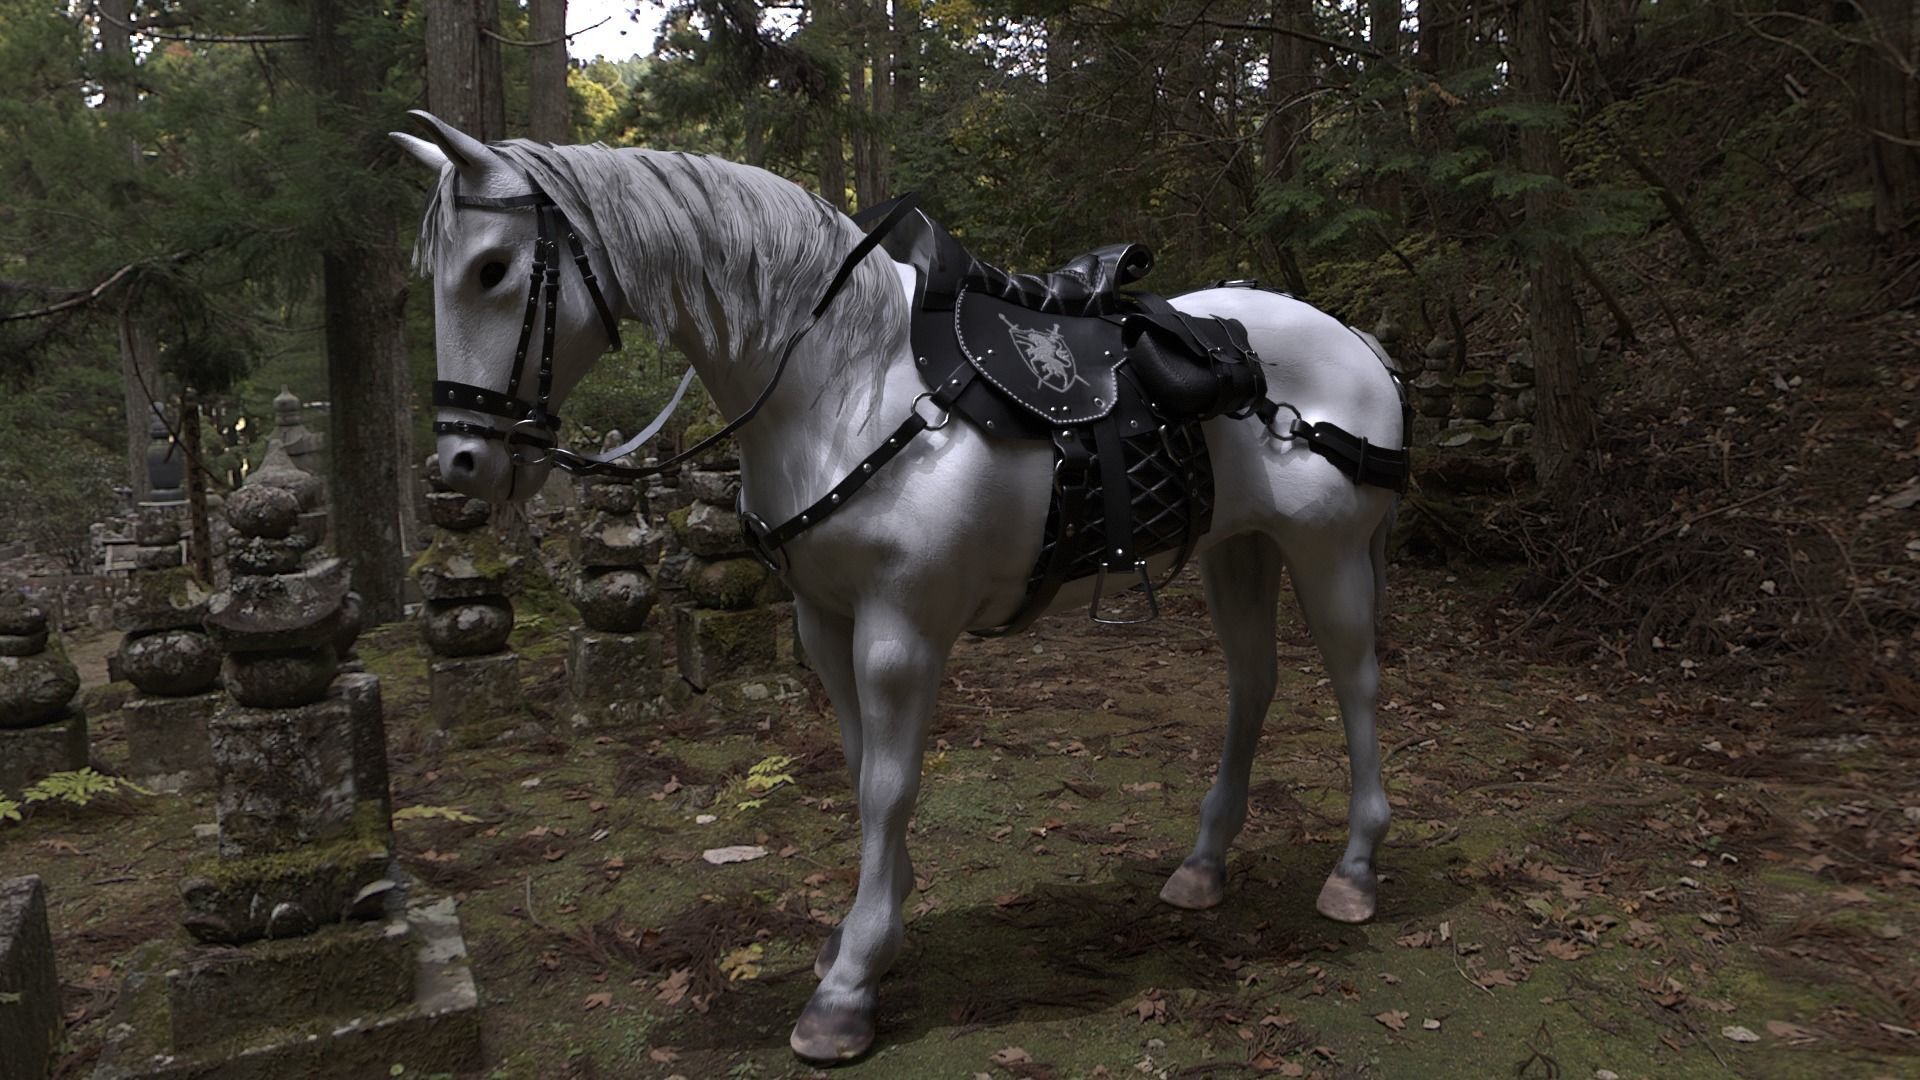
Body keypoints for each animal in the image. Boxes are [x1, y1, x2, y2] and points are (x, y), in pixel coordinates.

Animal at [393, 111, 1404, 1063]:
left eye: (491, 269)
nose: (464, 461)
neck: (845, 378)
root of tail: (1356, 342)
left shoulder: (899, 630)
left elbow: (888, 785)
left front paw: (850, 984)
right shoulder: (824, 621)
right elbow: (857, 766)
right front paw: (868, 924)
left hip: (1328, 555)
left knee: (1355, 686)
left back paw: (1354, 871)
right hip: (1242, 550)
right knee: (1253, 684)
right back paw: (1204, 863)